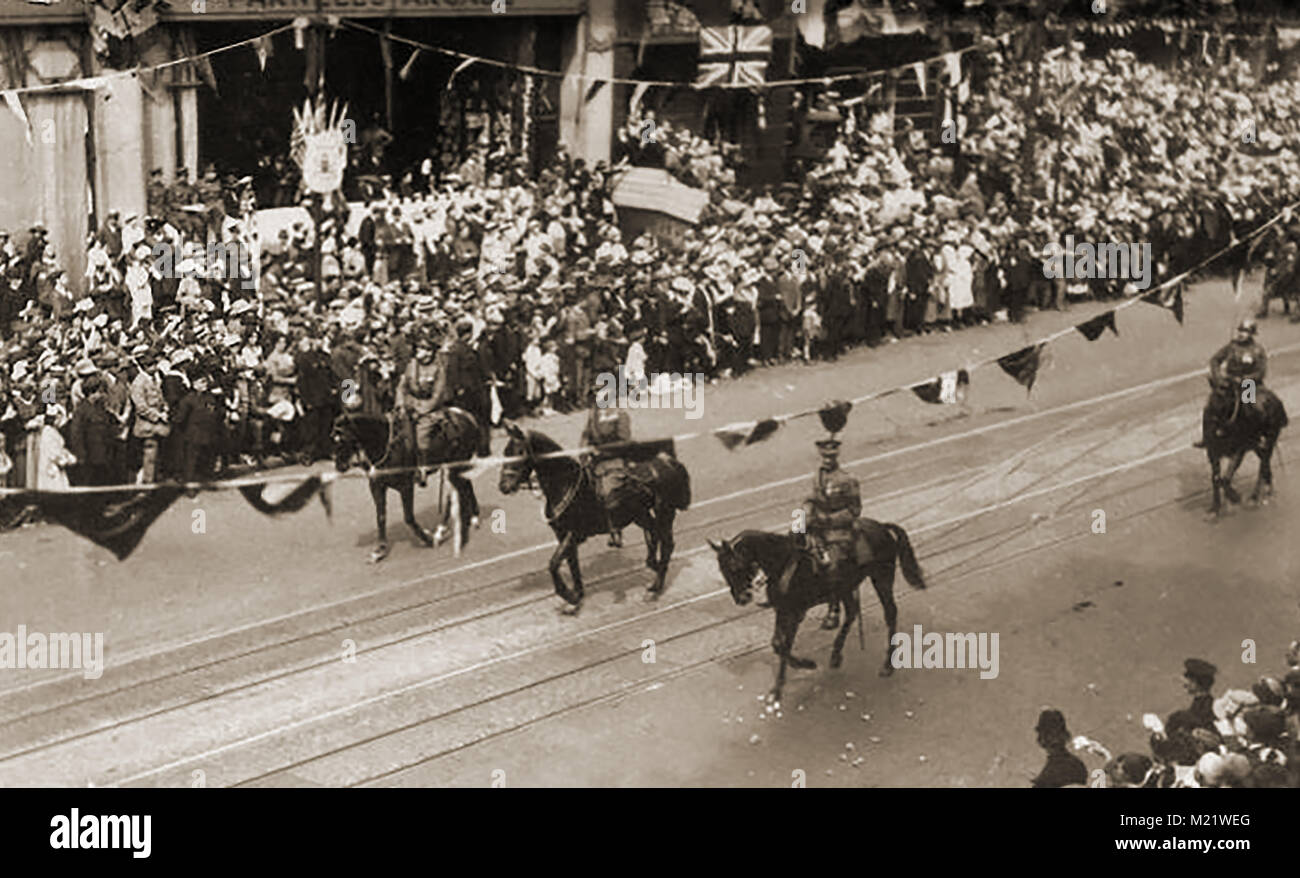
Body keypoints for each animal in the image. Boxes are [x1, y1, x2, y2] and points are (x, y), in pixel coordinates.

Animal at [332, 411, 486, 564]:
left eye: (342, 439)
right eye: (333, 438)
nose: (339, 465)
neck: (387, 444)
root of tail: (467, 416)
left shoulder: (405, 487)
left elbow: (409, 518)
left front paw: (428, 538)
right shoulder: (376, 486)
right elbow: (381, 517)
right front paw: (380, 550)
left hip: (455, 466)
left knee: (457, 490)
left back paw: (445, 529)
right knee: (465, 484)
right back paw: (467, 519)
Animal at [499, 421, 691, 613]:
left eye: (519, 452)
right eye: (505, 452)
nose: (503, 486)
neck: (565, 484)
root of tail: (669, 462)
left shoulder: (573, 533)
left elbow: (553, 564)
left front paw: (568, 595)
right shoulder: (562, 535)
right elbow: (572, 563)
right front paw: (577, 595)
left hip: (664, 512)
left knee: (666, 544)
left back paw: (655, 586)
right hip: (641, 515)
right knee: (654, 536)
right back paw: (653, 566)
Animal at [712, 525, 925, 702]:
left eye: (734, 566)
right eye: (721, 569)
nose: (741, 598)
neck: (783, 561)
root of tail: (882, 527)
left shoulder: (795, 612)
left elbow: (785, 645)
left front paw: (796, 672)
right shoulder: (782, 609)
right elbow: (778, 644)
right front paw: (790, 675)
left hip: (882, 578)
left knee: (890, 613)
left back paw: (888, 664)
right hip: (846, 586)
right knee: (852, 612)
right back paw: (836, 653)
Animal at [1201, 377, 1284, 515]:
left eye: (1228, 399)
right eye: (1211, 397)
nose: (1211, 424)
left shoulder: (1239, 451)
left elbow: (1225, 478)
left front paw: (1235, 497)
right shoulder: (1213, 453)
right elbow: (1216, 478)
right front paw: (1215, 508)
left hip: (1269, 440)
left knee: (1263, 463)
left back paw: (1255, 496)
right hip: (1258, 445)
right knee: (1264, 460)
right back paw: (1267, 487)